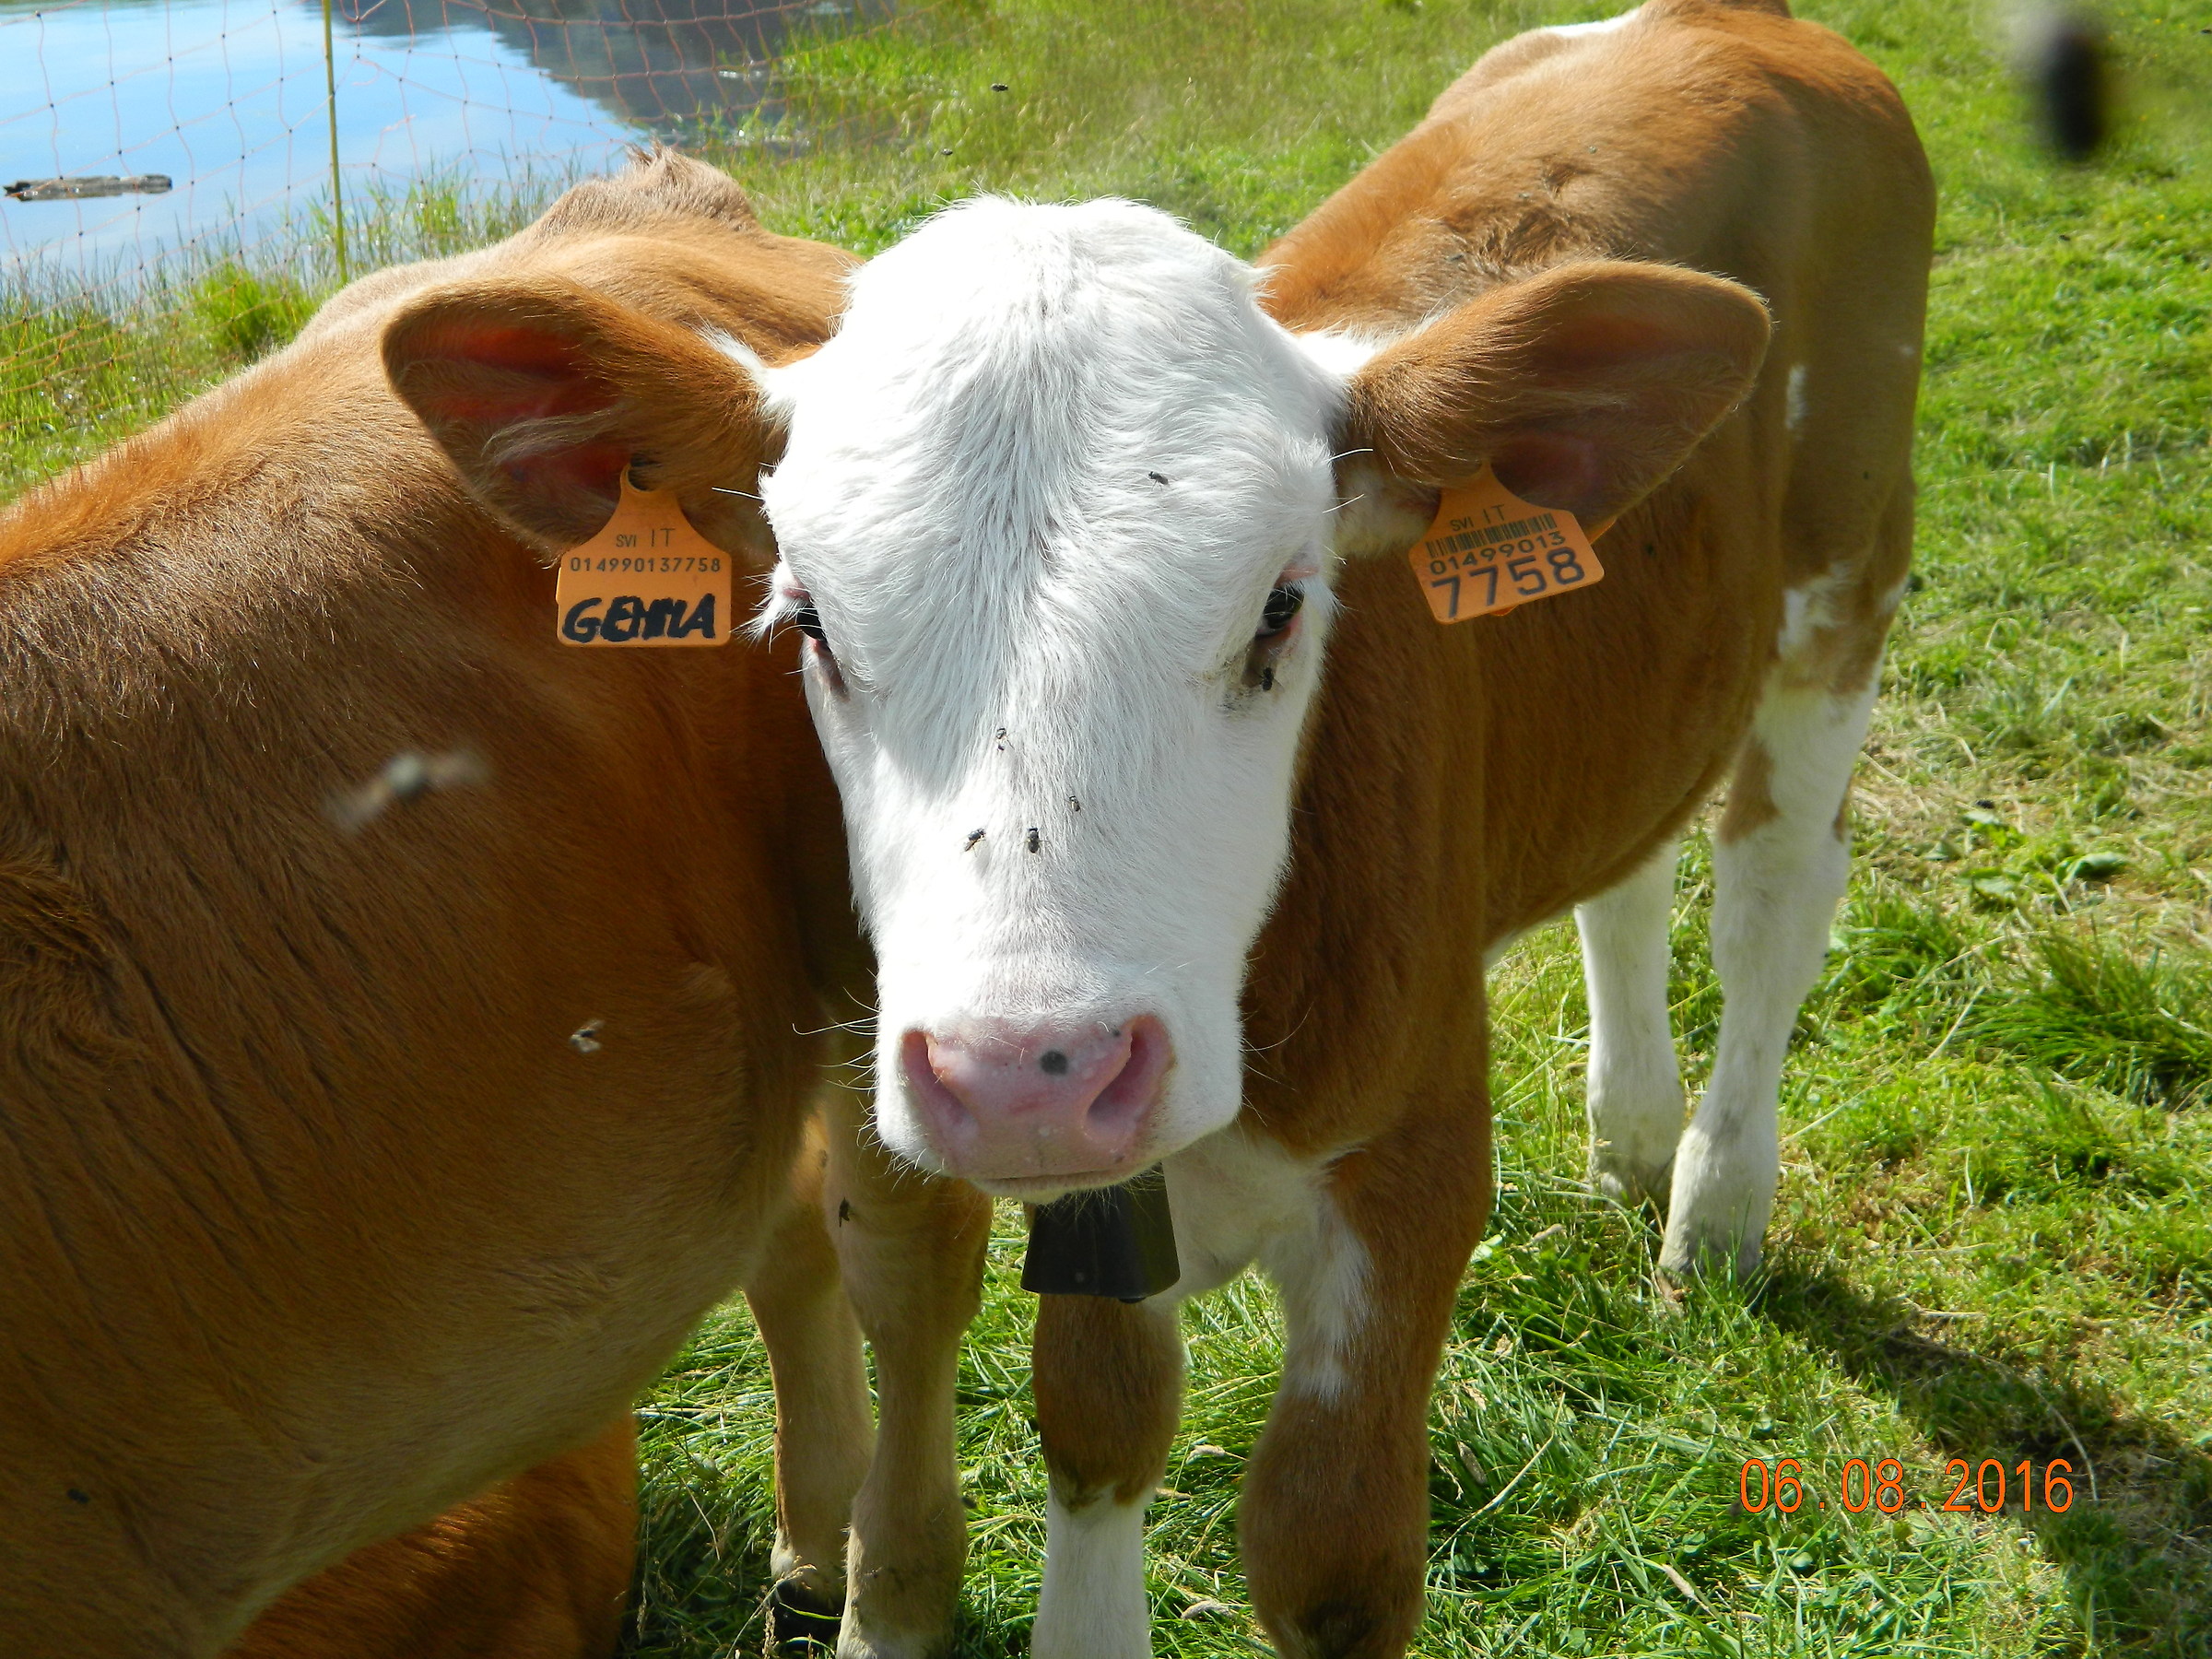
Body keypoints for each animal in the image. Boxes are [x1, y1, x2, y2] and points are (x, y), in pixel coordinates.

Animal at [706, 1, 1935, 1654]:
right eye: (811, 623)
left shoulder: (1414, 1172)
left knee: (1773, 896)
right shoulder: (1106, 1199)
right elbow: (1097, 1419)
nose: (1026, 1076)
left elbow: (1330, 1551)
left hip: (1846, 578)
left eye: (1284, 606)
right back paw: (1629, 1132)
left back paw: (1716, 1202)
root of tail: (1736, 27)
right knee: (1629, 871)